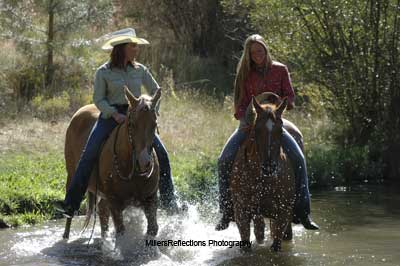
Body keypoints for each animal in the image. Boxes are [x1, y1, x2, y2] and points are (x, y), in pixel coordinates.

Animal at [61, 87, 160, 239]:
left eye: (154, 124)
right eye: (132, 124)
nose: (144, 162)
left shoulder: (150, 199)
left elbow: (153, 229)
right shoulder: (115, 202)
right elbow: (121, 231)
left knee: (102, 209)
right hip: (71, 175)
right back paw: (66, 234)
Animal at [230, 93, 298, 251]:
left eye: (280, 131)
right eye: (256, 129)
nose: (269, 167)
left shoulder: (283, 213)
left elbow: (276, 243)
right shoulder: (241, 213)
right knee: (259, 231)